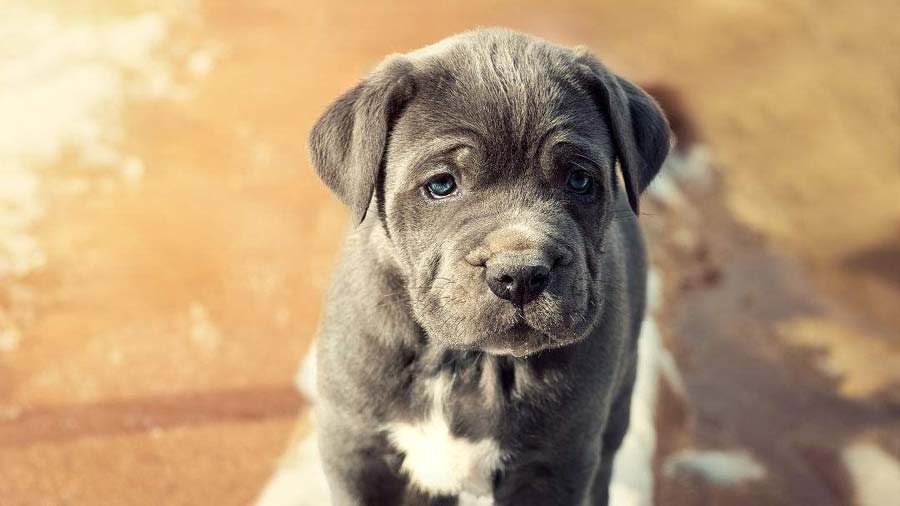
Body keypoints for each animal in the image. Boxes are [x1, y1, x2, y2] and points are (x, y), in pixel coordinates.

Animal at [310, 28, 668, 506]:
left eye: (580, 180)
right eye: (441, 185)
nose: (520, 274)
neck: (463, 361)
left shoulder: (554, 465)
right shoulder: (356, 452)